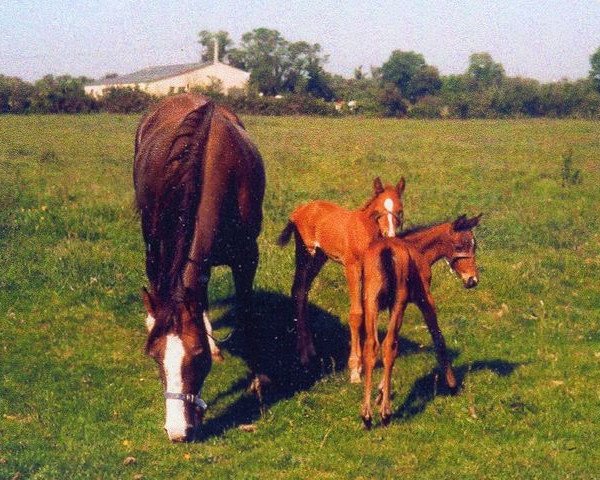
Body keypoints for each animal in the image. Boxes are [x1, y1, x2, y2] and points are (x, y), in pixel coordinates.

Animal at [136, 94, 268, 442]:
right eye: (155, 357)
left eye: (197, 357)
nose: (177, 431)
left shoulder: (247, 256)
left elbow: (247, 313)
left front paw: (259, 380)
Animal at [278, 176, 406, 382]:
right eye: (378, 211)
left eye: (399, 210)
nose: (391, 236)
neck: (364, 231)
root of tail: (300, 209)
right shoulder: (352, 268)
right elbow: (356, 314)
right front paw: (354, 369)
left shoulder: (367, 273)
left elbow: (368, 311)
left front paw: (363, 363)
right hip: (306, 254)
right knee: (298, 290)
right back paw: (303, 354)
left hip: (320, 257)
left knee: (303, 291)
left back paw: (310, 349)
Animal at [358, 215, 480, 428]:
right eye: (459, 245)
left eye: (475, 245)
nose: (472, 280)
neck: (416, 248)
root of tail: (386, 250)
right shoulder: (424, 299)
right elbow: (438, 337)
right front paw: (452, 385)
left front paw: (380, 392)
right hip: (399, 301)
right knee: (389, 345)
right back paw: (385, 413)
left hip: (371, 301)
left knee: (372, 345)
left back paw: (367, 415)